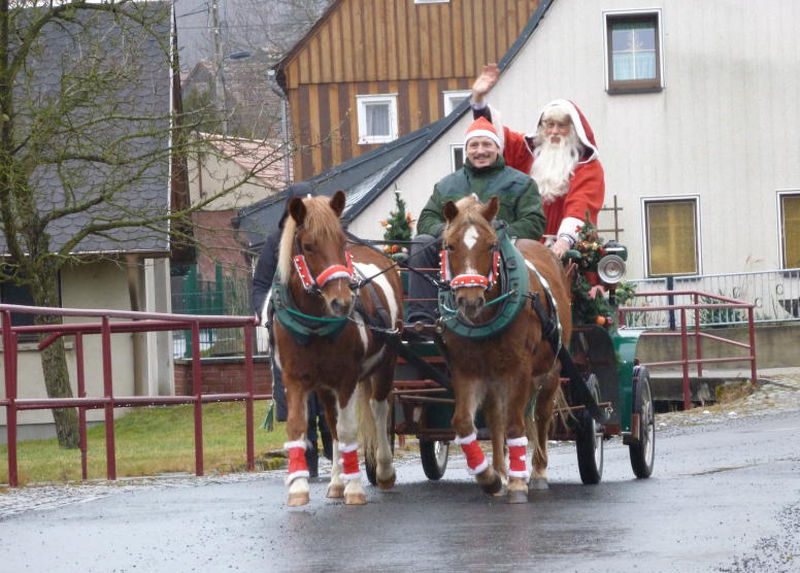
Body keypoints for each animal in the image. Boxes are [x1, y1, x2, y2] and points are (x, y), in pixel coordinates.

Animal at [272, 191, 404, 504]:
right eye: (308, 246)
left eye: (341, 242)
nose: (342, 302)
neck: (314, 324)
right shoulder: (296, 379)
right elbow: (300, 426)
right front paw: (298, 486)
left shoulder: (347, 379)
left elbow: (348, 430)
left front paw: (354, 487)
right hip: (324, 386)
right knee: (331, 425)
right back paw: (335, 481)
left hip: (386, 363)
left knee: (378, 409)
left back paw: (384, 470)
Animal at [440, 192, 572, 500]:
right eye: (450, 245)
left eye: (491, 245)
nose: (470, 300)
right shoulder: (466, 370)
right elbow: (464, 422)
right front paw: (489, 477)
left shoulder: (519, 370)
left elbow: (516, 424)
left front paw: (517, 483)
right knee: (496, 418)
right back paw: (502, 469)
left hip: (551, 370)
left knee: (541, 416)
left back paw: (536, 472)